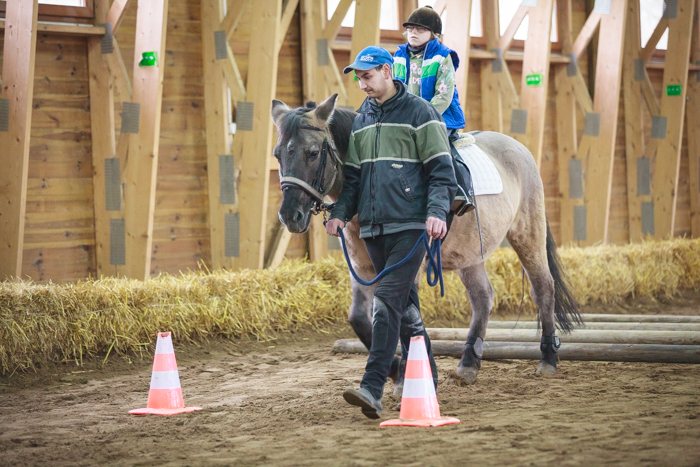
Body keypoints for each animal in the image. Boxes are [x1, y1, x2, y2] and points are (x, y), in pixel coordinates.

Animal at [270, 93, 581, 385]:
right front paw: (396, 368)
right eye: (277, 155)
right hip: (470, 253)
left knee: (543, 288)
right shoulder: (361, 269)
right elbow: (359, 318)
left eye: (312, 153)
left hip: (528, 234)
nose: (289, 215)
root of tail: (519, 149)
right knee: (483, 297)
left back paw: (548, 360)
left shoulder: (406, 264)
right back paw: (468, 364)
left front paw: (407, 375)